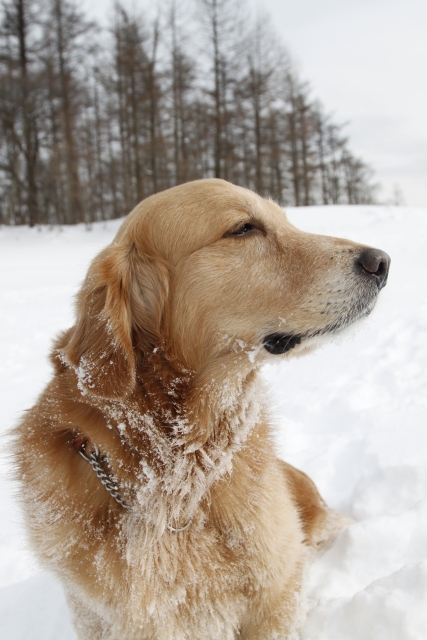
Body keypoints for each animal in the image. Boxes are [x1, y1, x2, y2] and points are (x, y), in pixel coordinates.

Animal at [12, 178, 392, 636]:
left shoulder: (277, 596)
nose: (382, 261)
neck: (179, 482)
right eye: (244, 228)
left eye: (285, 220)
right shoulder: (100, 618)